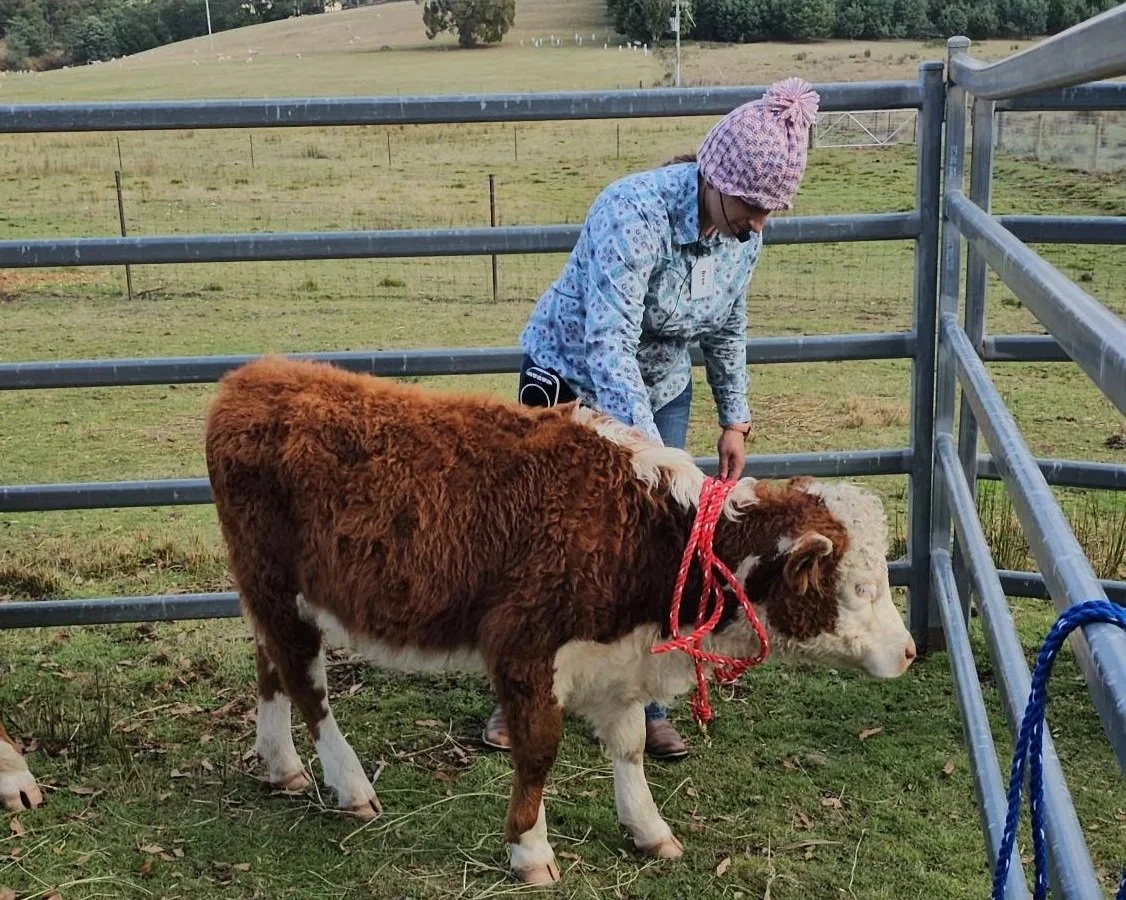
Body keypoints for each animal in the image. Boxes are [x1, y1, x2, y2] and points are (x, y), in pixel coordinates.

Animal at [204, 356, 916, 885]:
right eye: (859, 586)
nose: (909, 651)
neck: (643, 530)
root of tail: (256, 377)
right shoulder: (524, 648)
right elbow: (539, 753)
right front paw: (530, 851)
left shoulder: (618, 658)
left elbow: (629, 745)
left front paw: (649, 829)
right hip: (278, 587)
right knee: (308, 685)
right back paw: (348, 785)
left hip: (271, 594)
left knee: (271, 666)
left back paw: (280, 764)